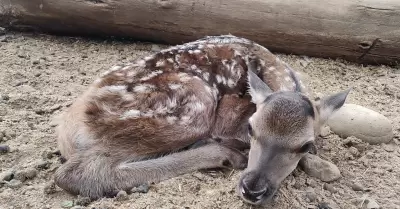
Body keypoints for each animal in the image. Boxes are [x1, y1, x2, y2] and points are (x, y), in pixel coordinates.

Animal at [54, 34, 350, 206]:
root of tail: (68, 127)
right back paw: (225, 154)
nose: (253, 189)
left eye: (305, 145)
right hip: (193, 104)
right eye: (251, 128)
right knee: (75, 172)